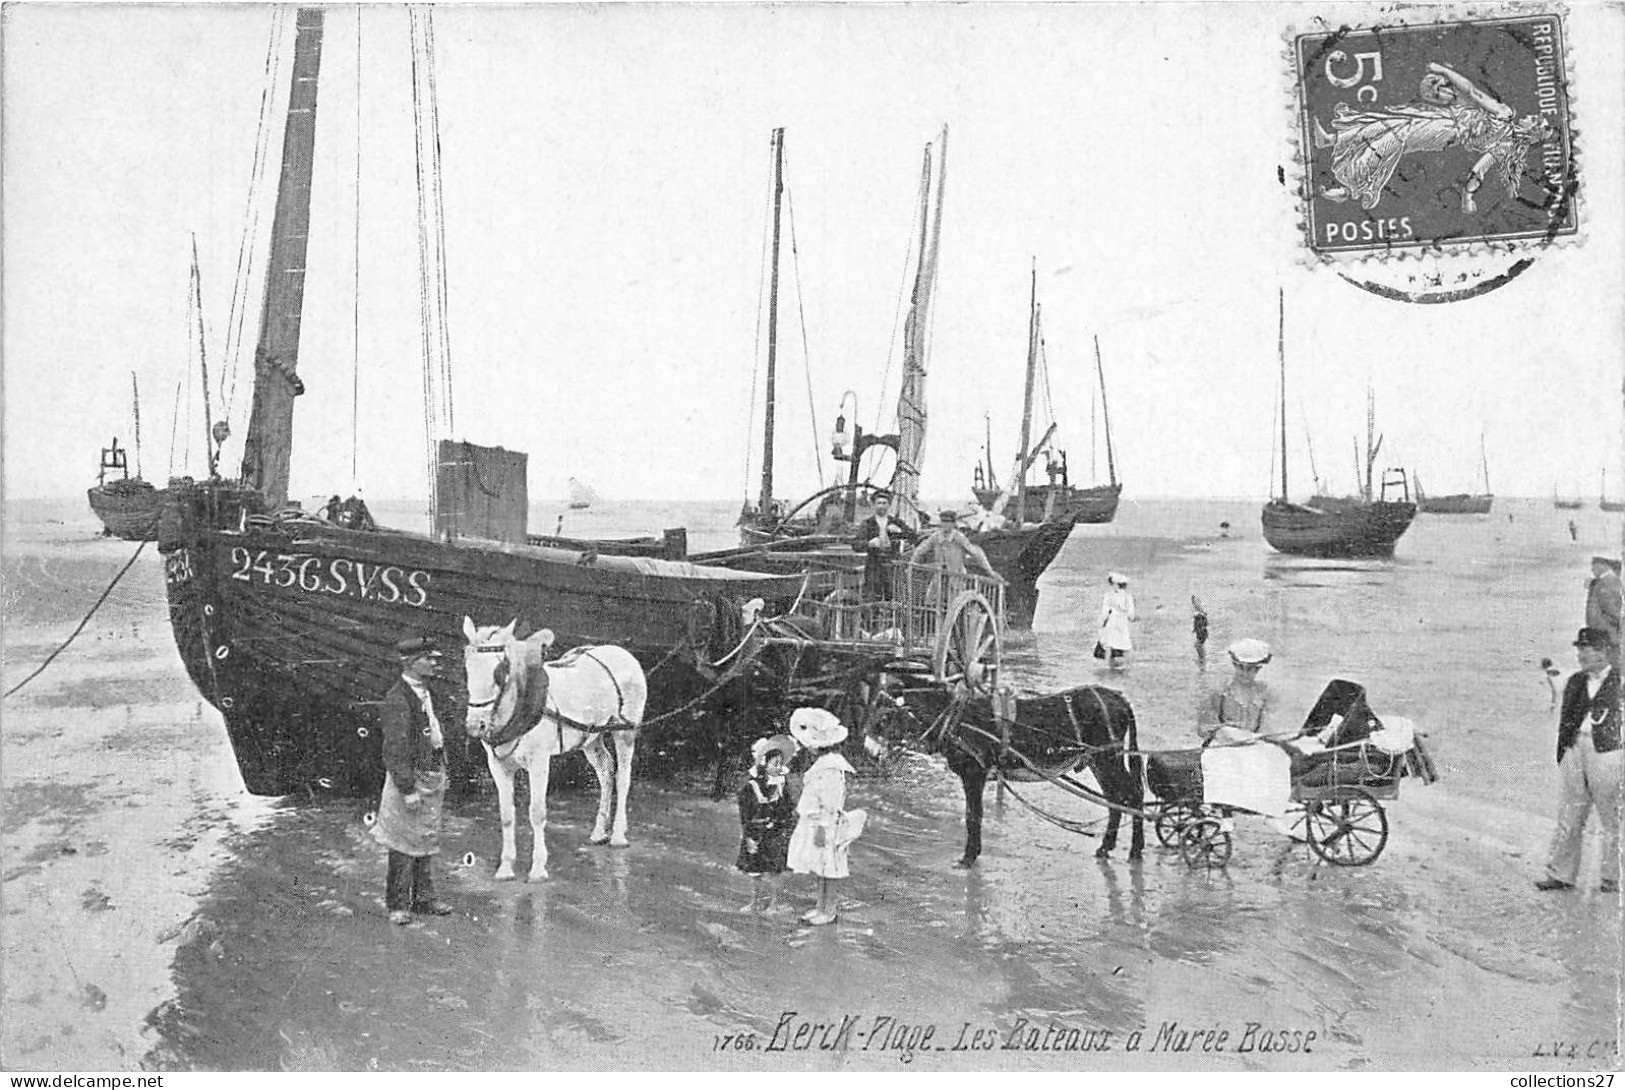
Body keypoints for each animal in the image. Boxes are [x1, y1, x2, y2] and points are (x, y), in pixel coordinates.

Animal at [461, 617, 643, 883]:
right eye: (468, 667)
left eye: (499, 672)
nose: (476, 725)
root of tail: (622, 653)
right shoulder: (497, 766)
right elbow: (506, 815)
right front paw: (505, 868)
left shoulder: (539, 762)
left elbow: (537, 813)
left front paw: (538, 868)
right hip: (590, 738)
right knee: (606, 772)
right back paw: (599, 832)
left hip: (625, 732)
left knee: (623, 778)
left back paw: (618, 835)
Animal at [897, 682, 1150, 870]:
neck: (955, 716)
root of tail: (1118, 697)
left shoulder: (974, 774)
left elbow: (973, 816)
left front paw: (968, 858)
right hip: (1098, 762)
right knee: (1115, 798)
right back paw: (1106, 847)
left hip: (1107, 758)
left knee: (1132, 795)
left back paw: (1135, 850)